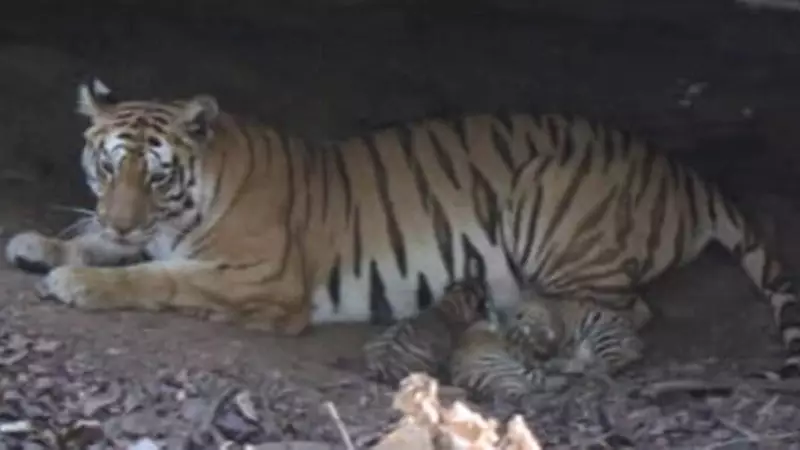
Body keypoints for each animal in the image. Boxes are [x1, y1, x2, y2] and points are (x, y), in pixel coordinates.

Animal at [3, 78, 799, 379]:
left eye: (158, 175)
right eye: (109, 168)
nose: (121, 214)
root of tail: (679, 168)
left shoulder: (258, 278)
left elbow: (154, 276)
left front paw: (76, 279)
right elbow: (104, 240)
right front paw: (37, 244)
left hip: (550, 200)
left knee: (624, 312)